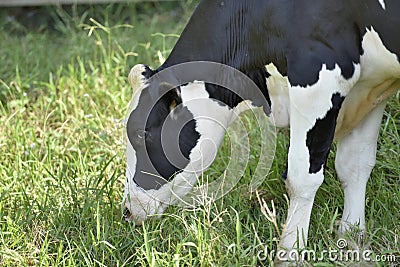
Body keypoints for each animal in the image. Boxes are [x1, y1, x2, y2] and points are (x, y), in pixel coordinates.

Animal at [123, 0, 398, 260]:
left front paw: (290, 253)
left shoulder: (318, 79)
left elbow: (301, 179)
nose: (127, 211)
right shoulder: (370, 87)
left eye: (140, 133)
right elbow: (355, 165)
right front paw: (351, 239)